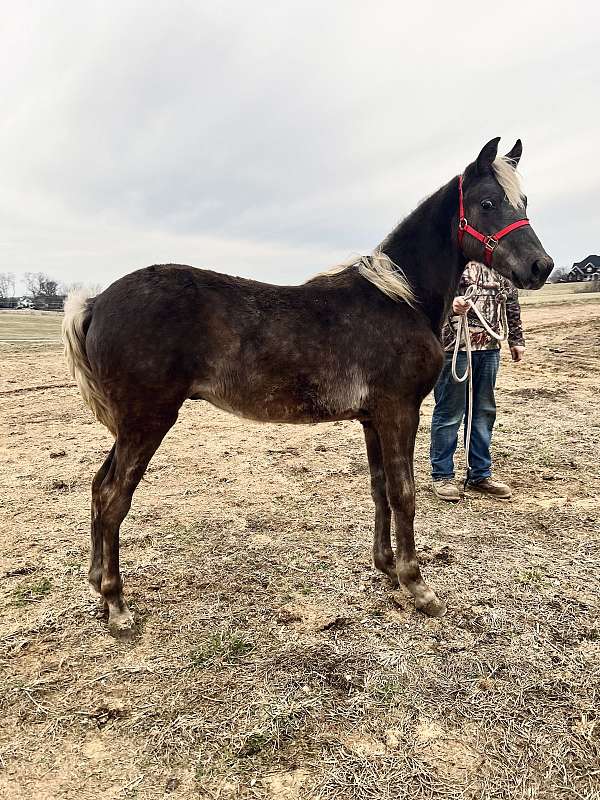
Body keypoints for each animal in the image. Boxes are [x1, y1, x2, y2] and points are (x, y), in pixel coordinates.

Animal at [63, 138, 552, 636]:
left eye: (523, 203)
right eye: (487, 203)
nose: (541, 266)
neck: (400, 298)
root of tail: (96, 301)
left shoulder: (373, 419)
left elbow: (380, 488)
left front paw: (386, 566)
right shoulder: (400, 411)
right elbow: (405, 494)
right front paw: (417, 586)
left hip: (132, 426)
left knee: (98, 487)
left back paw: (97, 585)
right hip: (147, 422)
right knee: (113, 497)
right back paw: (117, 604)